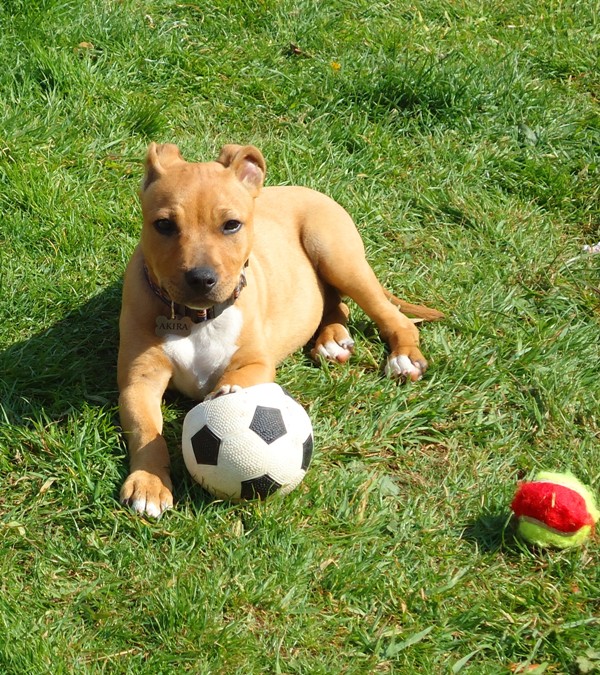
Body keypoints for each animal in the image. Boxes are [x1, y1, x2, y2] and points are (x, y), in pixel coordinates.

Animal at [116, 144, 440, 516]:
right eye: (164, 225)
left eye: (231, 225)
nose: (200, 278)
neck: (197, 319)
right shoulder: (139, 380)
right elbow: (145, 430)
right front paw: (149, 484)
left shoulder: (256, 362)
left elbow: (238, 379)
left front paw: (228, 393)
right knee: (334, 303)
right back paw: (332, 339)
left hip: (336, 254)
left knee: (390, 315)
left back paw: (403, 357)